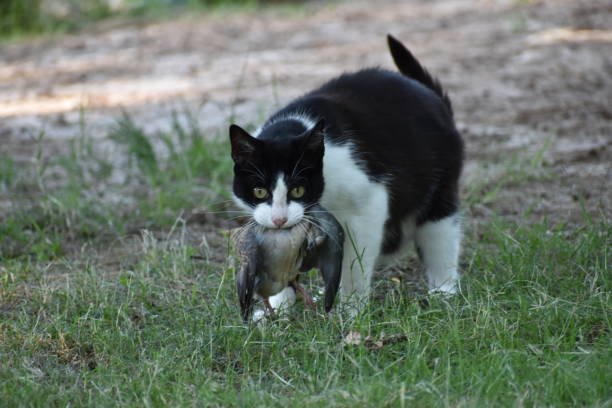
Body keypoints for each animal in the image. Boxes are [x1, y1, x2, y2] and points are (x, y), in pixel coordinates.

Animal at [230, 35, 464, 316]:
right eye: (259, 191)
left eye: (298, 189)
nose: (279, 219)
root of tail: (430, 94)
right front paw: (279, 309)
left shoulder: (370, 202)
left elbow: (356, 262)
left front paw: (352, 311)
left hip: (440, 191)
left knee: (440, 236)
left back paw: (443, 294)